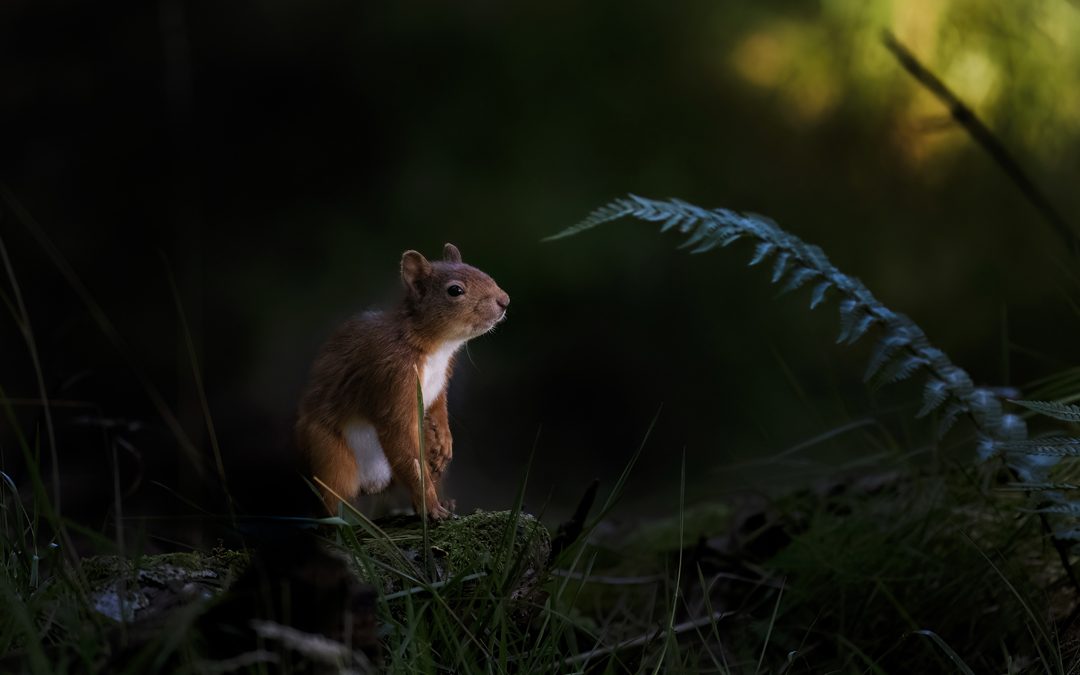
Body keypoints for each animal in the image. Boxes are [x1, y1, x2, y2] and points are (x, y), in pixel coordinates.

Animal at [296, 243, 509, 520]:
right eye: (455, 290)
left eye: (481, 271)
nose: (505, 300)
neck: (437, 349)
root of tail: (373, 483)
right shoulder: (392, 375)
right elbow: (398, 432)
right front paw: (432, 508)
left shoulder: (440, 382)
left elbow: (438, 408)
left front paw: (446, 439)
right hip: (329, 454)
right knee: (336, 494)